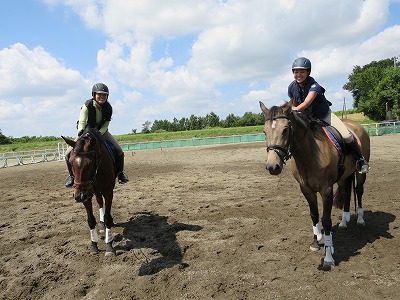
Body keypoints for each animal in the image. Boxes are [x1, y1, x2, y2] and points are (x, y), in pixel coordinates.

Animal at [61, 126, 116, 255]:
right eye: (70, 162)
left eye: (90, 163)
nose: (78, 196)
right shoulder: (87, 195)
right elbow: (90, 220)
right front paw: (94, 245)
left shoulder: (108, 190)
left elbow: (108, 217)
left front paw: (109, 246)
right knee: (100, 202)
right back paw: (102, 225)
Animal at [260, 100, 368, 270]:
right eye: (264, 132)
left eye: (285, 130)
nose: (272, 167)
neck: (308, 155)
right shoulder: (306, 190)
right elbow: (314, 215)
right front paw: (316, 241)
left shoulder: (326, 189)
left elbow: (326, 220)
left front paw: (328, 257)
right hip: (344, 176)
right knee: (346, 192)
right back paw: (344, 221)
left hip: (360, 172)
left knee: (358, 190)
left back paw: (361, 219)